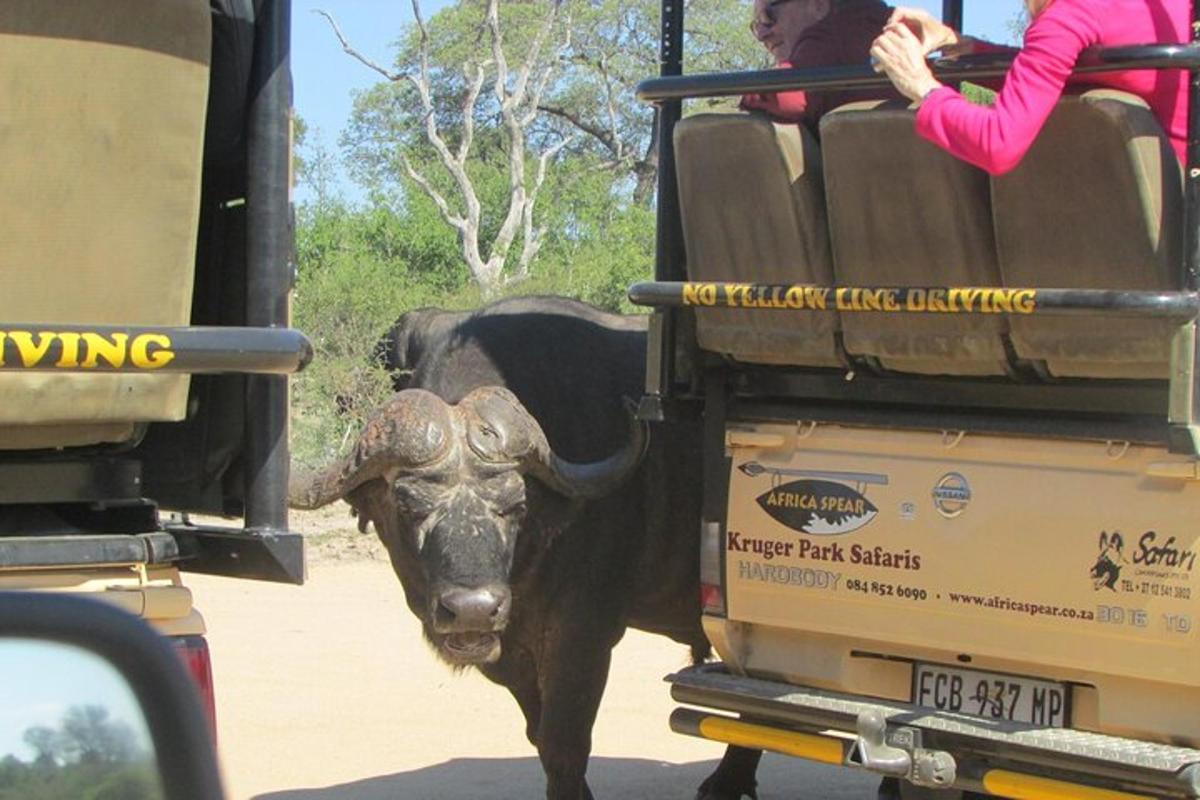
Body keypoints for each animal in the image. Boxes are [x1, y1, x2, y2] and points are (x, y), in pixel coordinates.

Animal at [290, 297, 758, 796]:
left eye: (516, 504)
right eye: (407, 505)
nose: (473, 609)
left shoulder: (585, 633)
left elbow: (563, 742)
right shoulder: (511, 644)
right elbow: (539, 733)